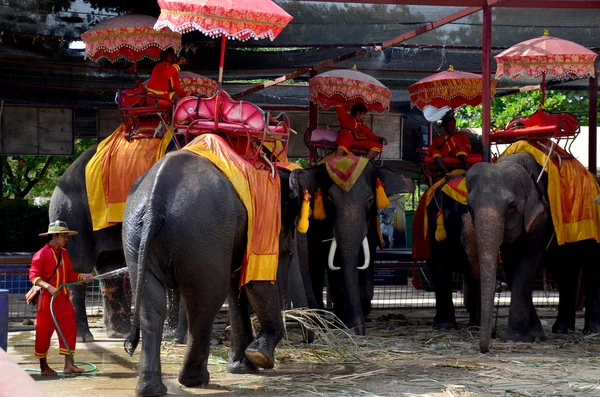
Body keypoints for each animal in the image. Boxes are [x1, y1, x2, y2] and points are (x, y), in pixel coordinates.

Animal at [123, 149, 308, 396]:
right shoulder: (262, 217)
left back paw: (151, 389)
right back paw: (195, 380)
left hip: (136, 233)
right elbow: (256, 281)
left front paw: (244, 367)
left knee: (150, 304)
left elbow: (238, 282)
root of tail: (157, 197)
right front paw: (260, 357)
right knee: (205, 300)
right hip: (200, 233)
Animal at [290, 159, 412, 332]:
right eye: (329, 200)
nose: (360, 332)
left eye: (370, 200)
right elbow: (336, 267)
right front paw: (345, 325)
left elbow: (367, 259)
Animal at [468, 152, 600, 352]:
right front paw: (536, 335)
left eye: (511, 206)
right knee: (569, 269)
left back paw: (592, 331)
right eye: (470, 206)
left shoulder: (542, 216)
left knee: (592, 268)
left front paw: (515, 339)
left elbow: (526, 263)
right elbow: (511, 263)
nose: (485, 348)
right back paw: (562, 330)